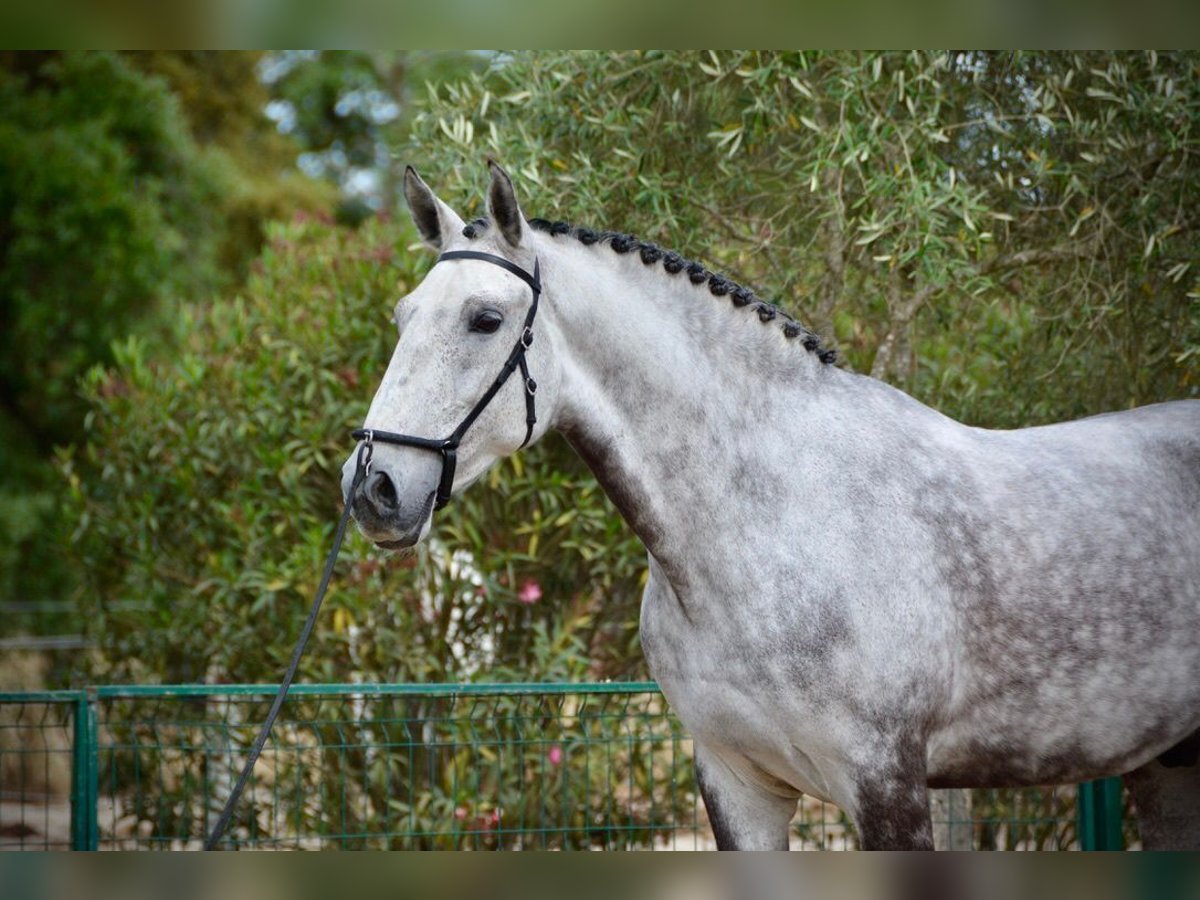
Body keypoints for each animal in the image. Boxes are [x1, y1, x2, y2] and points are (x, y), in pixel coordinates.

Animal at [343, 164, 1195, 854]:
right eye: (403, 316)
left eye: (485, 319)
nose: (373, 488)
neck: (771, 523)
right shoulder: (736, 787)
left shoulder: (888, 787)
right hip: (1165, 765)